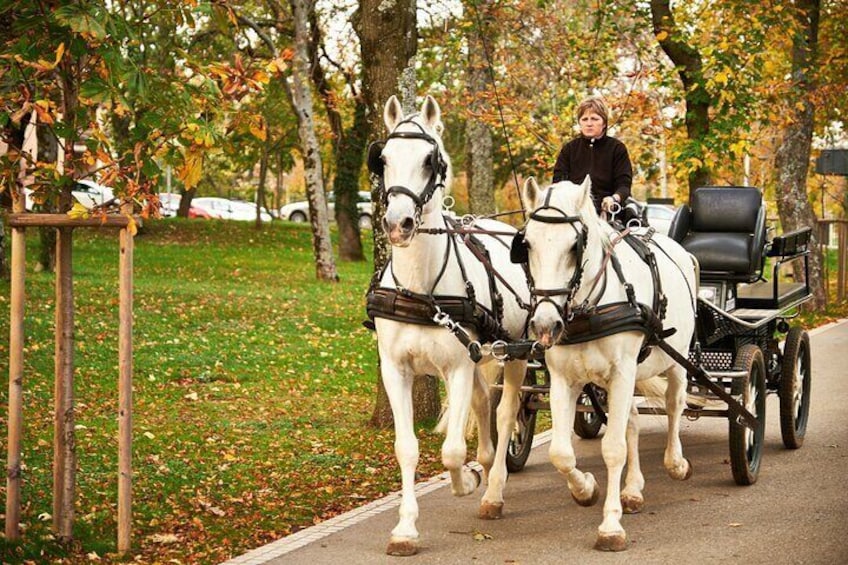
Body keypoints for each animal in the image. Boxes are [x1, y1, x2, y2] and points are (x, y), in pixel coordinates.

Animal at [370, 94, 528, 552]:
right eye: (382, 159)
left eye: (430, 159)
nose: (397, 224)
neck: (421, 289)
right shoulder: (397, 369)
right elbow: (406, 448)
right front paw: (405, 528)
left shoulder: (456, 366)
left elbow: (453, 450)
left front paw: (467, 481)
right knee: (482, 400)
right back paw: (489, 463)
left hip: (516, 354)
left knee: (506, 412)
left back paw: (493, 489)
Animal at [520, 177, 700, 552]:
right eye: (525, 244)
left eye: (575, 245)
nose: (545, 325)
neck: (589, 308)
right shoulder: (564, 380)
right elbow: (561, 452)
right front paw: (586, 489)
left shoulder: (622, 373)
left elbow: (613, 449)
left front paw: (610, 526)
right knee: (631, 421)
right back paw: (632, 490)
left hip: (674, 361)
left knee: (674, 405)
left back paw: (676, 463)